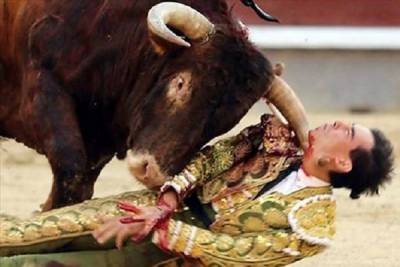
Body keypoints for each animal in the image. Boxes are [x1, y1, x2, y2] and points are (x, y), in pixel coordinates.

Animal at [0, 0, 308, 211]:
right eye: (180, 83)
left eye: (225, 122)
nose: (151, 172)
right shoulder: (43, 87)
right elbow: (70, 171)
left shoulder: (101, 139)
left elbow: (78, 189)